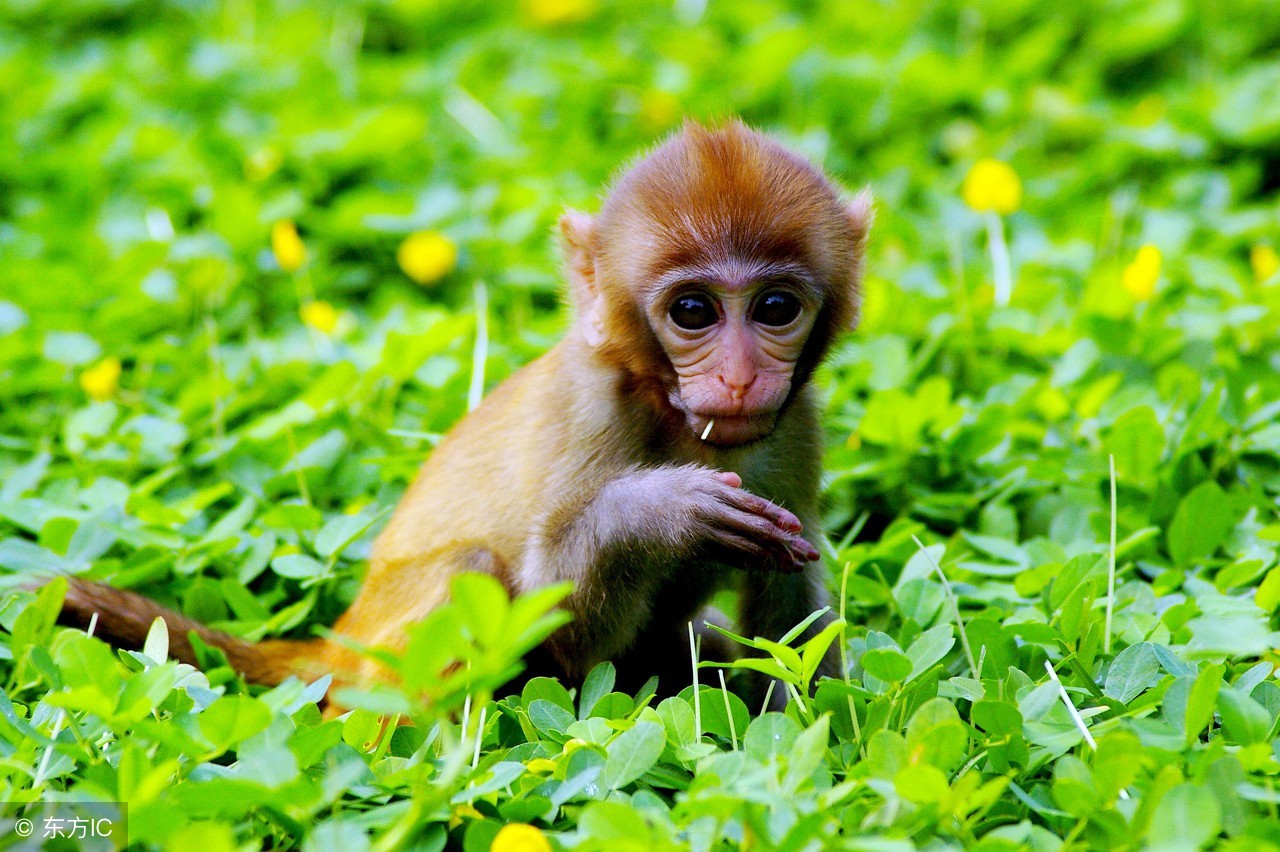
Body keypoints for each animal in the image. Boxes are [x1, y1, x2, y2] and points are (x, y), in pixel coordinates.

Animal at [64, 119, 875, 701]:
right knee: (470, 571)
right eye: (694, 312)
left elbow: (785, 619)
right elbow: (566, 635)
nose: (739, 378)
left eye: (775, 308)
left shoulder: (799, 426)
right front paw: (657, 511)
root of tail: (340, 638)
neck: (671, 409)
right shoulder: (589, 408)